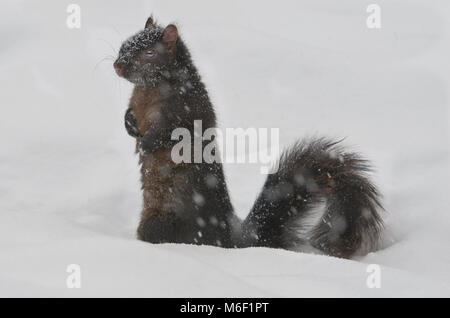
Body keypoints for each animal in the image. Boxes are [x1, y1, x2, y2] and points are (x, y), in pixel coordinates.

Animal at [112, 16, 384, 258]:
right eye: (124, 44)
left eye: (149, 53)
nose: (117, 65)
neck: (149, 88)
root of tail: (232, 239)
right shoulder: (136, 103)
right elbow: (129, 114)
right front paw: (129, 125)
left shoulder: (185, 111)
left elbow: (171, 133)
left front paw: (147, 144)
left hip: (161, 223)